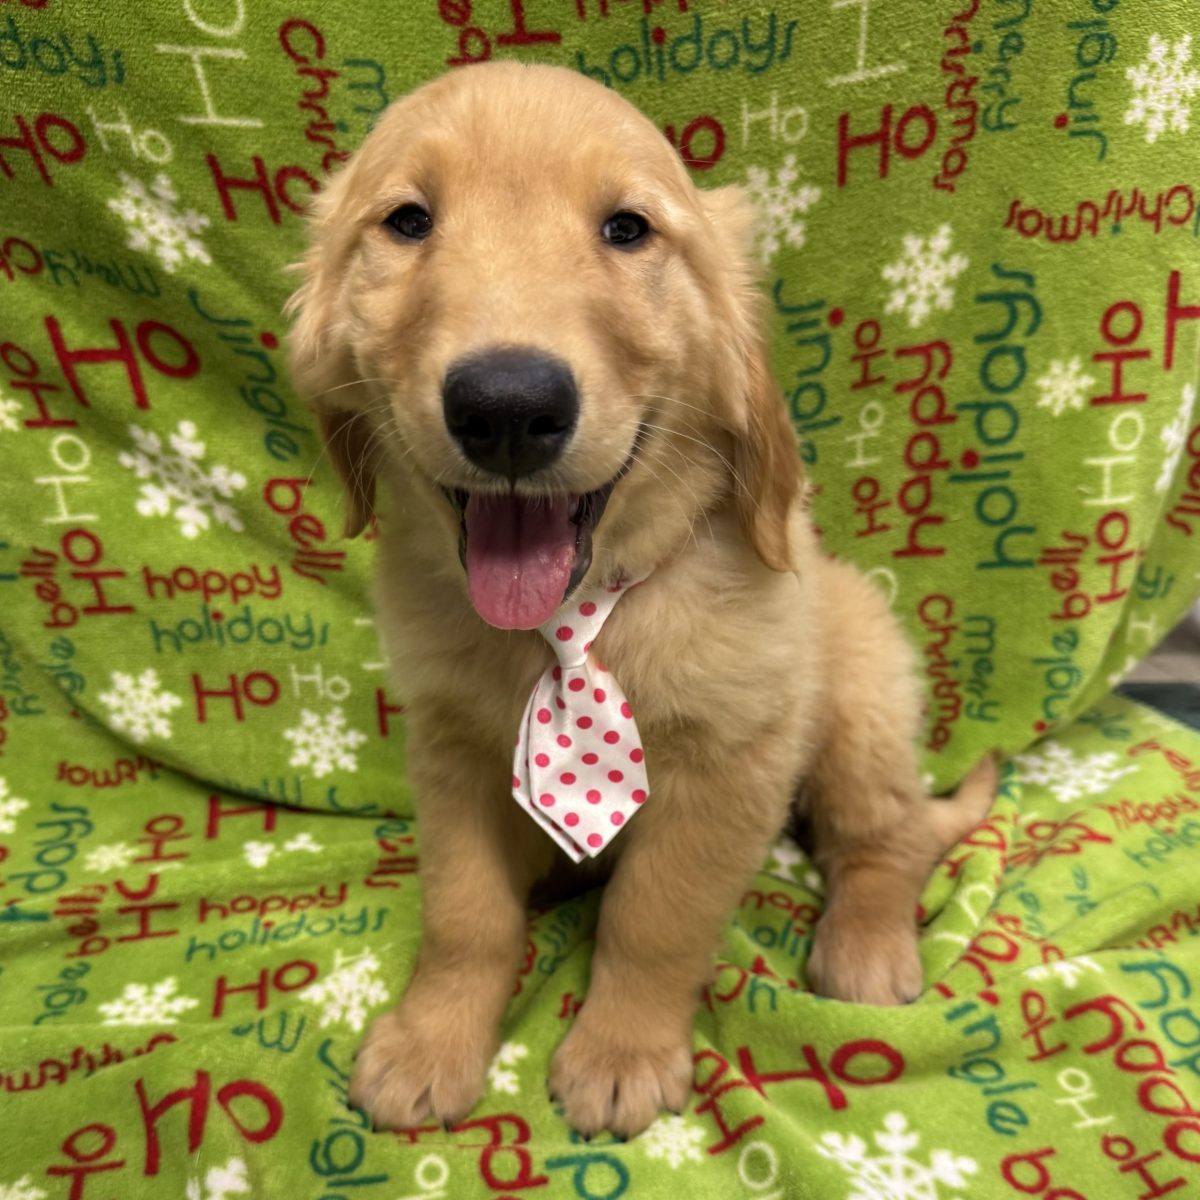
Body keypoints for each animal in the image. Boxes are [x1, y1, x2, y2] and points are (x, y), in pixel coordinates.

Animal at [286, 60, 995, 1139]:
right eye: (407, 222)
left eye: (627, 229)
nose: (507, 406)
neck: (577, 622)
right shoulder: (450, 751)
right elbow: (464, 914)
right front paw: (432, 1041)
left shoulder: (730, 762)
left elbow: (654, 918)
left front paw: (620, 1052)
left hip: (859, 699)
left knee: (891, 835)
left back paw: (868, 946)